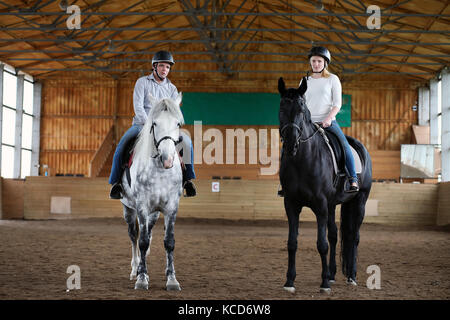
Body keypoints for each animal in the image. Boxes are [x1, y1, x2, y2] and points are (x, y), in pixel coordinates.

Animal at [120, 92, 184, 290]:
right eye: (154, 123)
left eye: (178, 123)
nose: (168, 159)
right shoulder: (141, 206)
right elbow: (142, 241)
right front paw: (141, 278)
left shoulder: (171, 207)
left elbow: (169, 242)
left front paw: (172, 279)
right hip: (128, 209)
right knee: (134, 235)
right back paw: (135, 269)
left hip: (154, 213)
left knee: (147, 231)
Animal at [278, 77, 372, 292]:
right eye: (281, 107)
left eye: (302, 108)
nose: (291, 143)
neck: (302, 160)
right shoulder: (291, 204)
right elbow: (292, 243)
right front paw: (290, 281)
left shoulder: (320, 205)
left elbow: (322, 244)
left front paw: (324, 284)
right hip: (332, 205)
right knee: (335, 235)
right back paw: (332, 274)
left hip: (360, 201)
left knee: (354, 237)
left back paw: (351, 276)